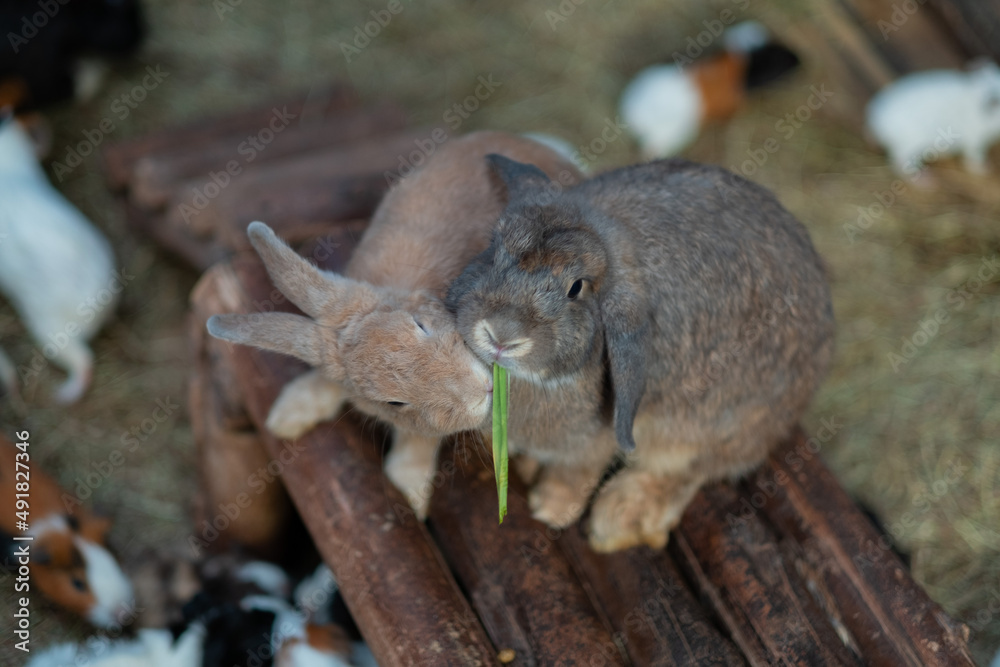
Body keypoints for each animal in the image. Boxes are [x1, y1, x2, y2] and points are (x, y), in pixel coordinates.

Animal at [207, 131, 582, 517]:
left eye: (421, 326)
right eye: (394, 403)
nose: (481, 392)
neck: (405, 289)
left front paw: (411, 495)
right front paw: (287, 417)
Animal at [447, 155, 835, 552]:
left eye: (576, 288)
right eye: (495, 249)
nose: (501, 334)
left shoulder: (600, 437)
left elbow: (577, 471)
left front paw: (551, 510)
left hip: (719, 427)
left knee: (691, 472)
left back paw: (619, 516)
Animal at [866, 61, 1000, 180]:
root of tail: (875, 123)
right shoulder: (975, 140)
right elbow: (975, 157)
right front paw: (986, 168)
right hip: (910, 146)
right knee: (900, 164)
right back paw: (927, 181)